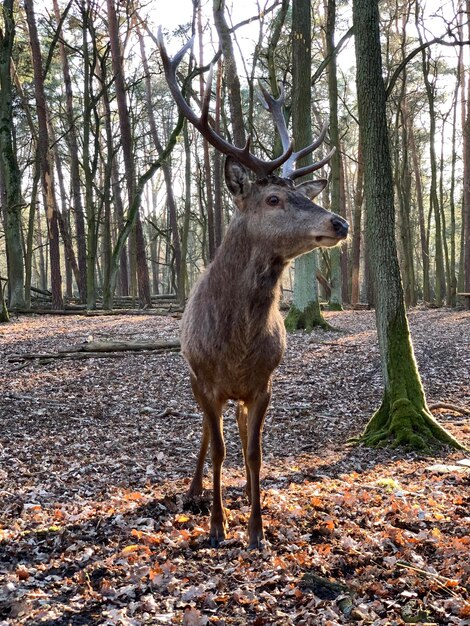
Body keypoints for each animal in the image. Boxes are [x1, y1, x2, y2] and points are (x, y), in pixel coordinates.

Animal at [158, 33, 348, 544]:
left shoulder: (264, 383)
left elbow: (254, 451)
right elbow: (219, 447)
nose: (339, 222)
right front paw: (217, 526)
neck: (236, 345)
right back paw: (194, 490)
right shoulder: (205, 380)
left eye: (303, 193)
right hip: (193, 380)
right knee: (208, 436)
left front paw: (257, 529)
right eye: (274, 198)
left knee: (242, 433)